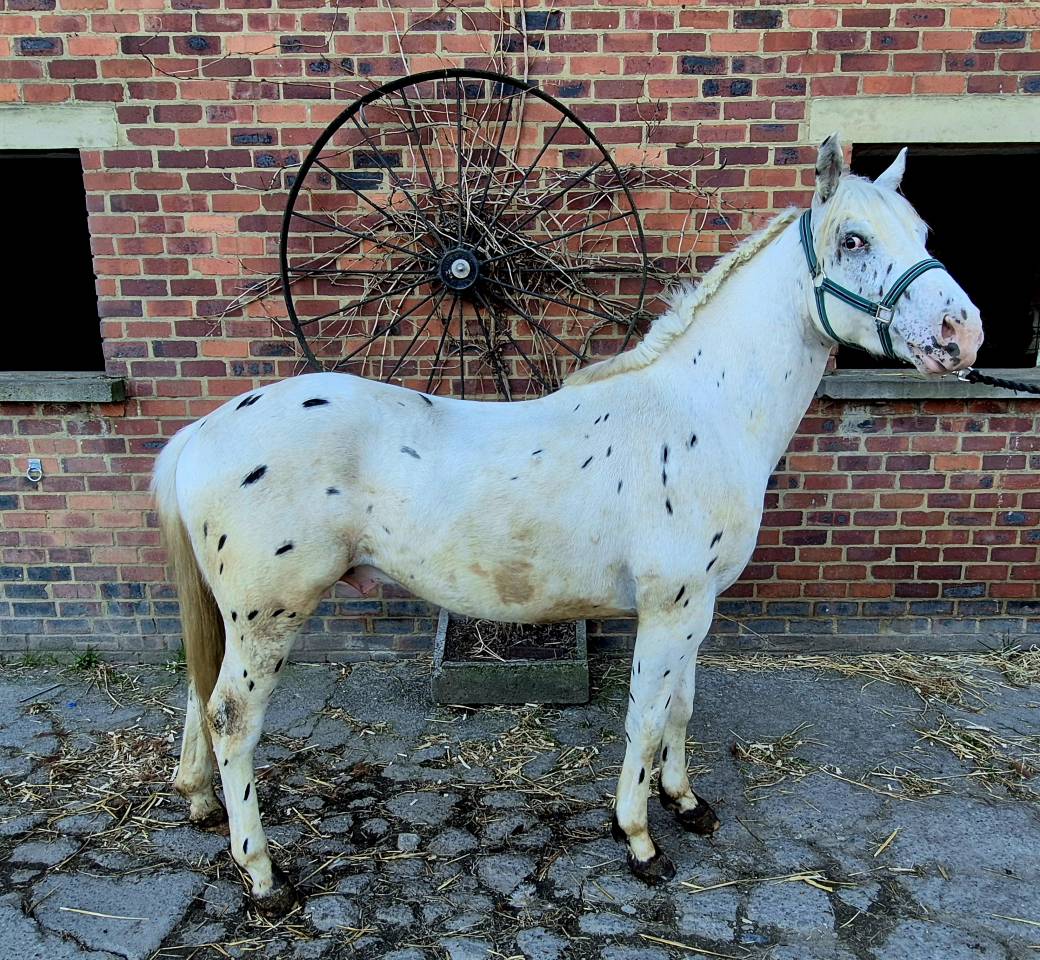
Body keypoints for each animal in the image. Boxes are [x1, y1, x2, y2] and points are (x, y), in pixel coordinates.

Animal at [153, 135, 983, 910]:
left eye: (922, 229)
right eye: (854, 240)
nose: (963, 333)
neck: (701, 411)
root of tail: (203, 432)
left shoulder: (697, 607)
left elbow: (680, 706)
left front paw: (687, 803)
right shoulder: (671, 606)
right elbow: (645, 717)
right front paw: (640, 841)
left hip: (233, 613)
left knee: (200, 695)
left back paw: (198, 804)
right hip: (269, 615)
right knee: (232, 718)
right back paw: (263, 875)